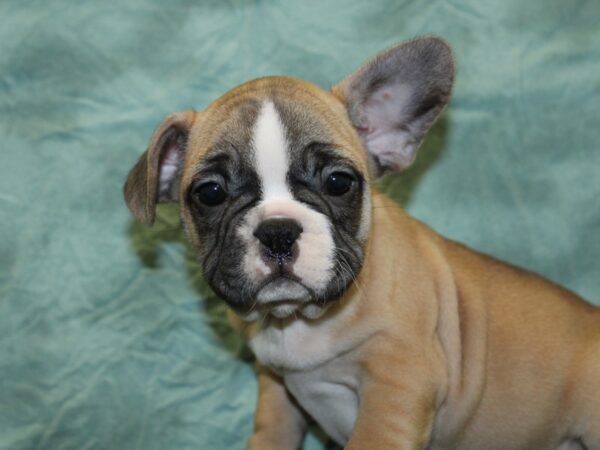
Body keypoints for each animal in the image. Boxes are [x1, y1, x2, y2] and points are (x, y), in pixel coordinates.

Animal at [123, 38, 600, 450]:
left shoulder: (399, 383)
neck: (295, 321)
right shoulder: (276, 388)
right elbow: (273, 431)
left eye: (338, 182)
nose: (277, 230)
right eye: (210, 193)